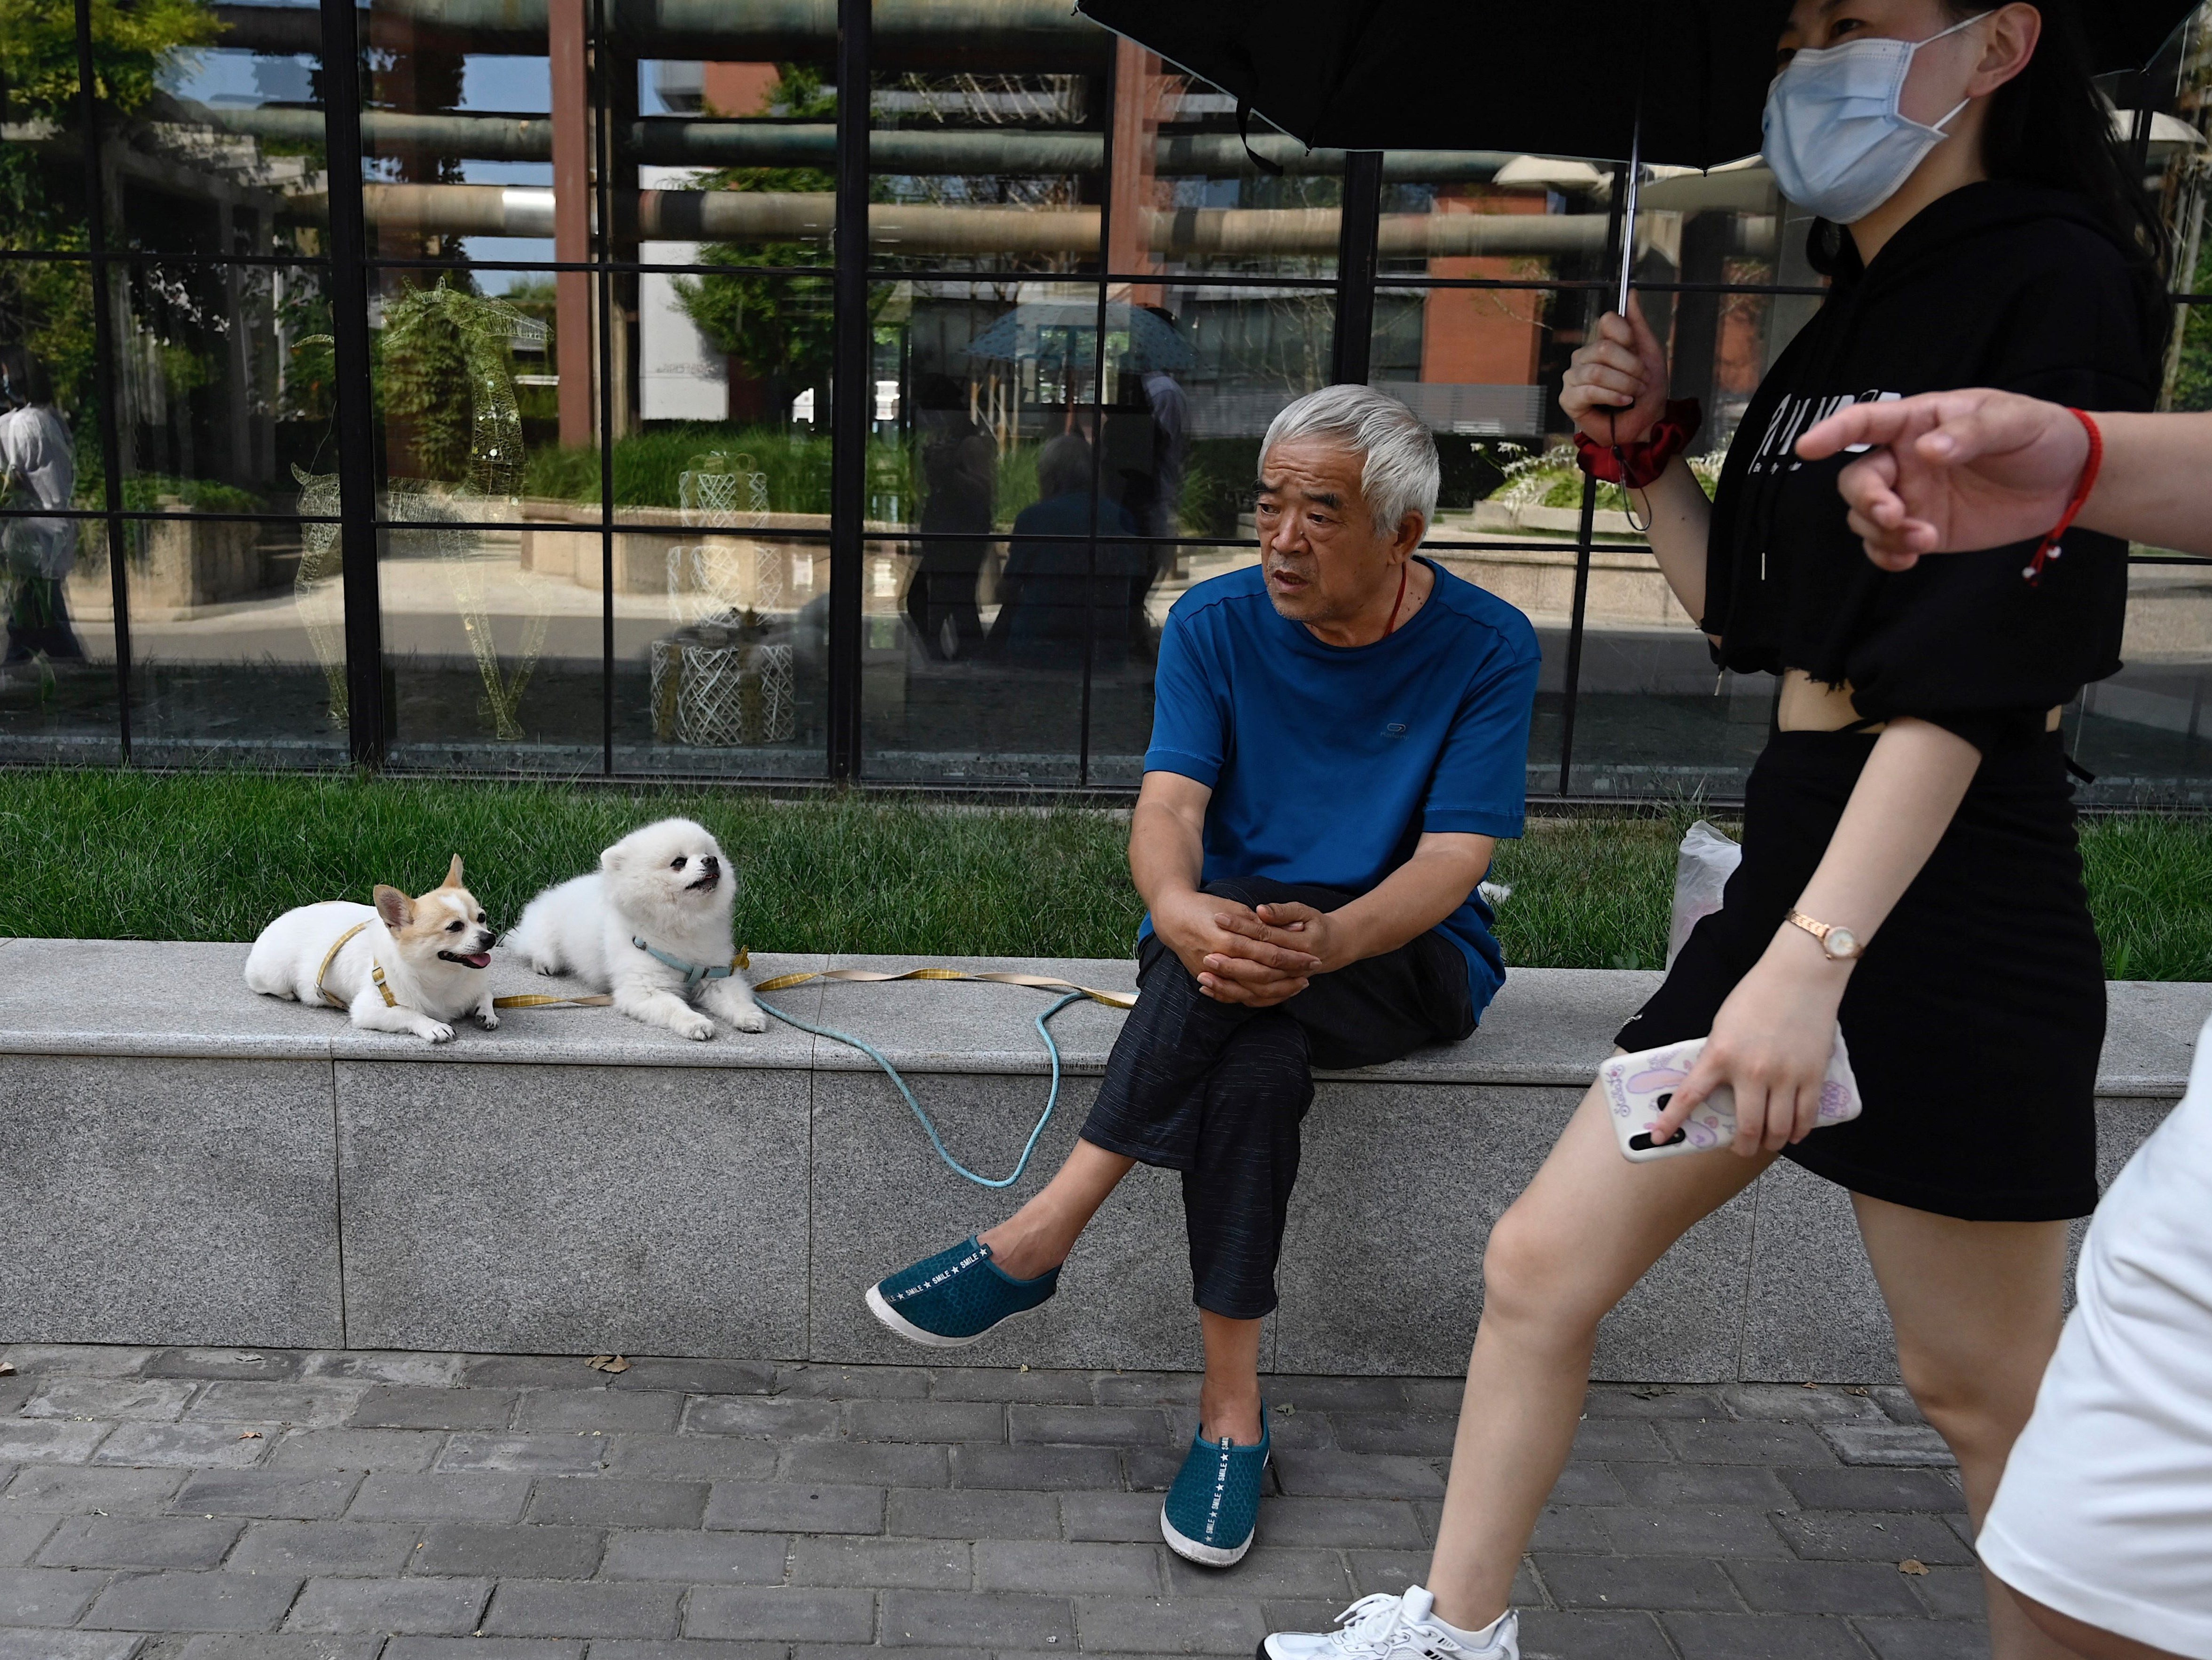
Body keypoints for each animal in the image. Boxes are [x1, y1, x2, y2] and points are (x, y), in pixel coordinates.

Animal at [248, 857, 502, 1039]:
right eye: (455, 927)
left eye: (482, 918)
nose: (490, 938)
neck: (444, 978)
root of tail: (279, 919)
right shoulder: (368, 1009)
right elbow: (408, 1011)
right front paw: (434, 1026)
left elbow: (486, 993)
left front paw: (486, 1012)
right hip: (274, 977)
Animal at [506, 818, 769, 1039]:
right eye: (679, 863)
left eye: (709, 854)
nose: (711, 861)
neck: (681, 925)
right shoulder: (644, 988)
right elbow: (674, 1007)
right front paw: (696, 1023)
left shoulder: (715, 974)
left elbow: (737, 999)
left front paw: (750, 1017)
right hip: (546, 934)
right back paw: (543, 964)